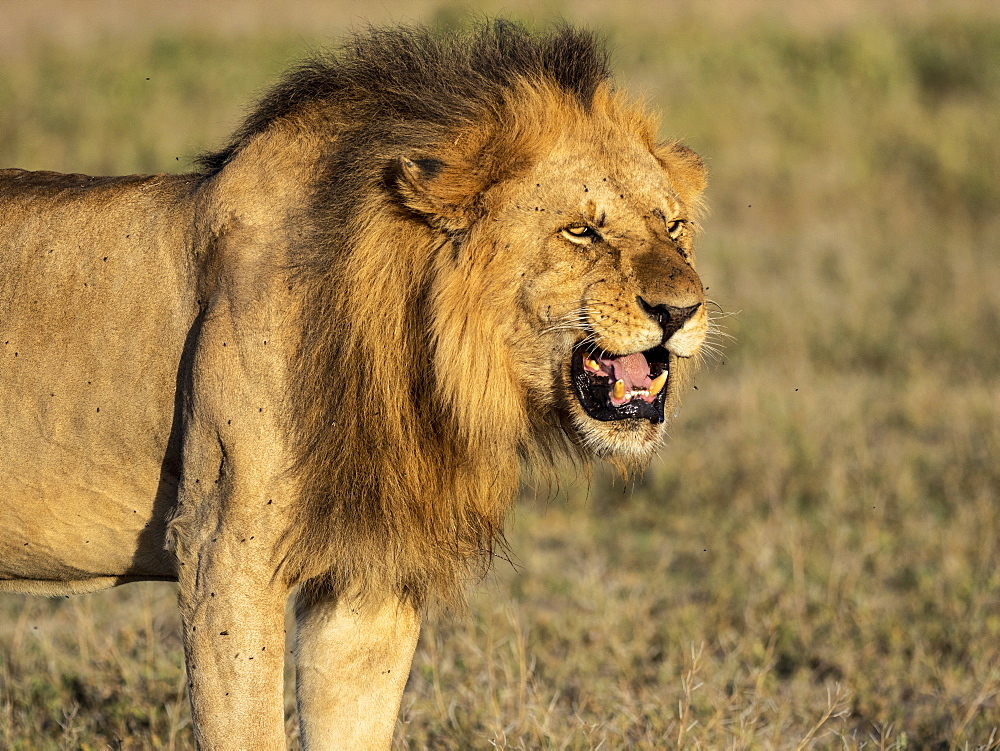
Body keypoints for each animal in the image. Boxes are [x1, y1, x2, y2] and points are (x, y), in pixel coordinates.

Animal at [0, 20, 708, 748]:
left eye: (673, 225)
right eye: (581, 230)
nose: (683, 310)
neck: (421, 368)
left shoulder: (369, 574)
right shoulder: (221, 550)